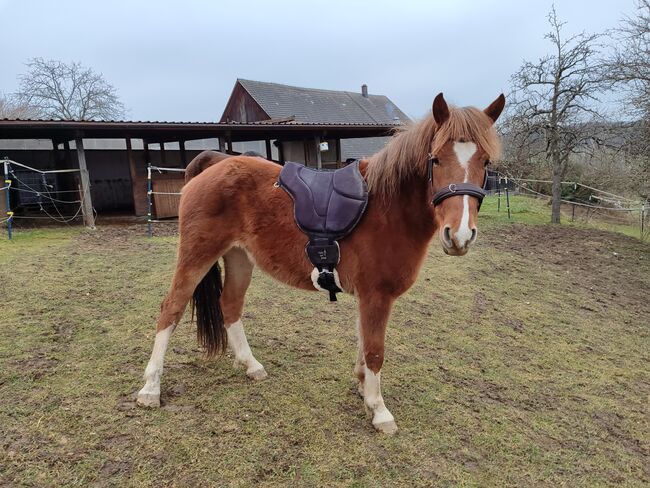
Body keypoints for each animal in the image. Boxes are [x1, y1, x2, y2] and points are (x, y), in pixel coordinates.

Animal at [135, 92, 502, 434]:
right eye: (435, 159)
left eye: (485, 162)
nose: (459, 235)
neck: (386, 207)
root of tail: (215, 163)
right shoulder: (376, 296)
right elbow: (375, 350)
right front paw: (380, 411)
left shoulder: (368, 298)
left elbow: (364, 344)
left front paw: (364, 390)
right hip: (196, 255)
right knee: (171, 309)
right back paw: (151, 389)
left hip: (239, 257)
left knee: (230, 305)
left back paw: (251, 365)